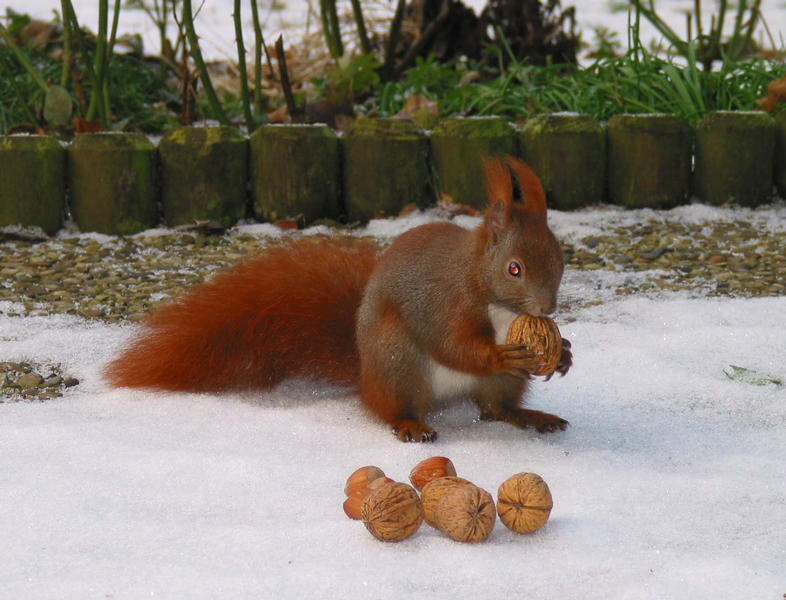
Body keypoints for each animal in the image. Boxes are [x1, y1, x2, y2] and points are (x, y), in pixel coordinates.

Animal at [105, 157, 568, 442]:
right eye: (514, 269)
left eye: (561, 257)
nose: (547, 309)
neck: (496, 303)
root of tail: (364, 373)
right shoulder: (444, 302)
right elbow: (453, 344)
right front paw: (499, 353)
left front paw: (563, 352)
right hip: (398, 361)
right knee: (391, 407)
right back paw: (409, 424)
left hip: (491, 385)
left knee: (494, 407)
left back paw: (529, 416)